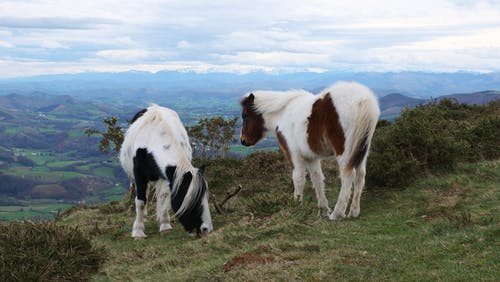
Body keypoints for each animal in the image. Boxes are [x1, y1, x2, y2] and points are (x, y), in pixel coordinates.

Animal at [121, 104, 215, 238]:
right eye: (190, 199)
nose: (206, 229)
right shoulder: (139, 175)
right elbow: (140, 201)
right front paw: (138, 231)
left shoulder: (169, 176)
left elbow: (164, 197)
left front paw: (165, 225)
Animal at [241, 81, 378, 220]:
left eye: (245, 116)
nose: (243, 140)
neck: (282, 114)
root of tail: (363, 100)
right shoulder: (311, 157)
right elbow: (317, 179)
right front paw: (323, 209)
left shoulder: (293, 154)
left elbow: (298, 178)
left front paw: (296, 205)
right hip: (361, 151)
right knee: (360, 175)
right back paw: (353, 212)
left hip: (344, 152)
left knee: (348, 176)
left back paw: (337, 213)